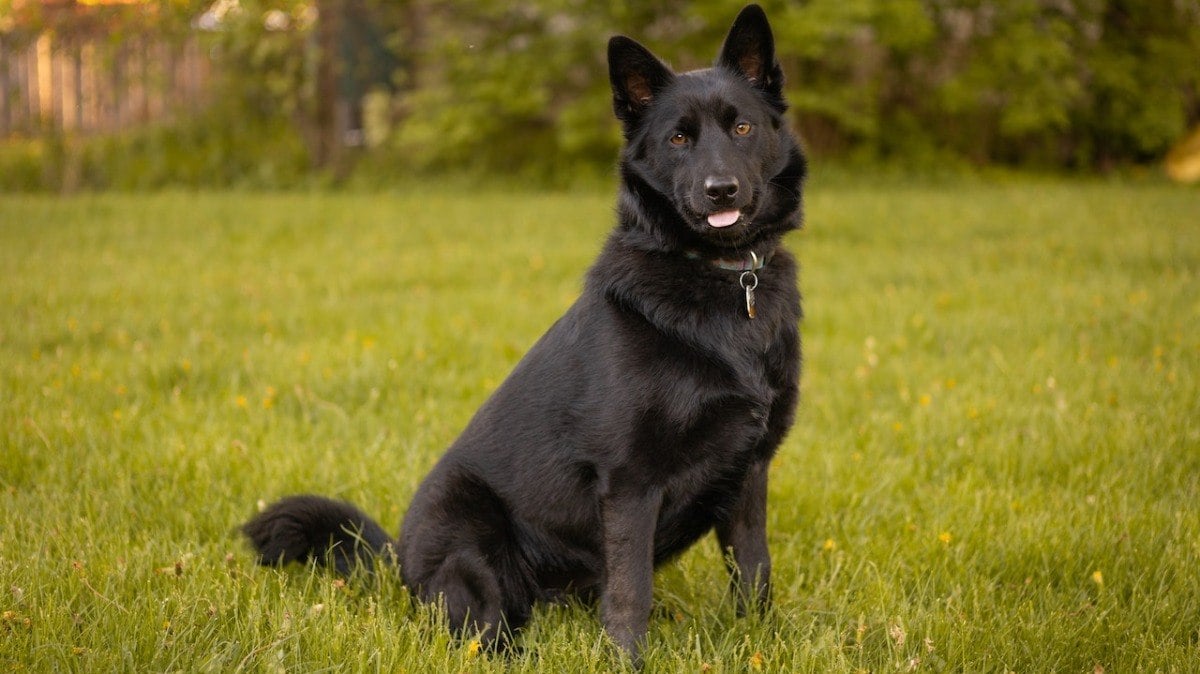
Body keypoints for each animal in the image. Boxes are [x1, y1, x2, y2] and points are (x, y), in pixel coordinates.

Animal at [241, 3, 806, 662]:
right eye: (678, 138)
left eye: (742, 128)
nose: (721, 191)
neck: (723, 279)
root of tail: (398, 564)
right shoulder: (631, 482)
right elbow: (630, 591)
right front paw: (625, 660)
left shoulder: (749, 473)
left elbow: (755, 569)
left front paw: (761, 640)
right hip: (474, 539)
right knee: (479, 629)